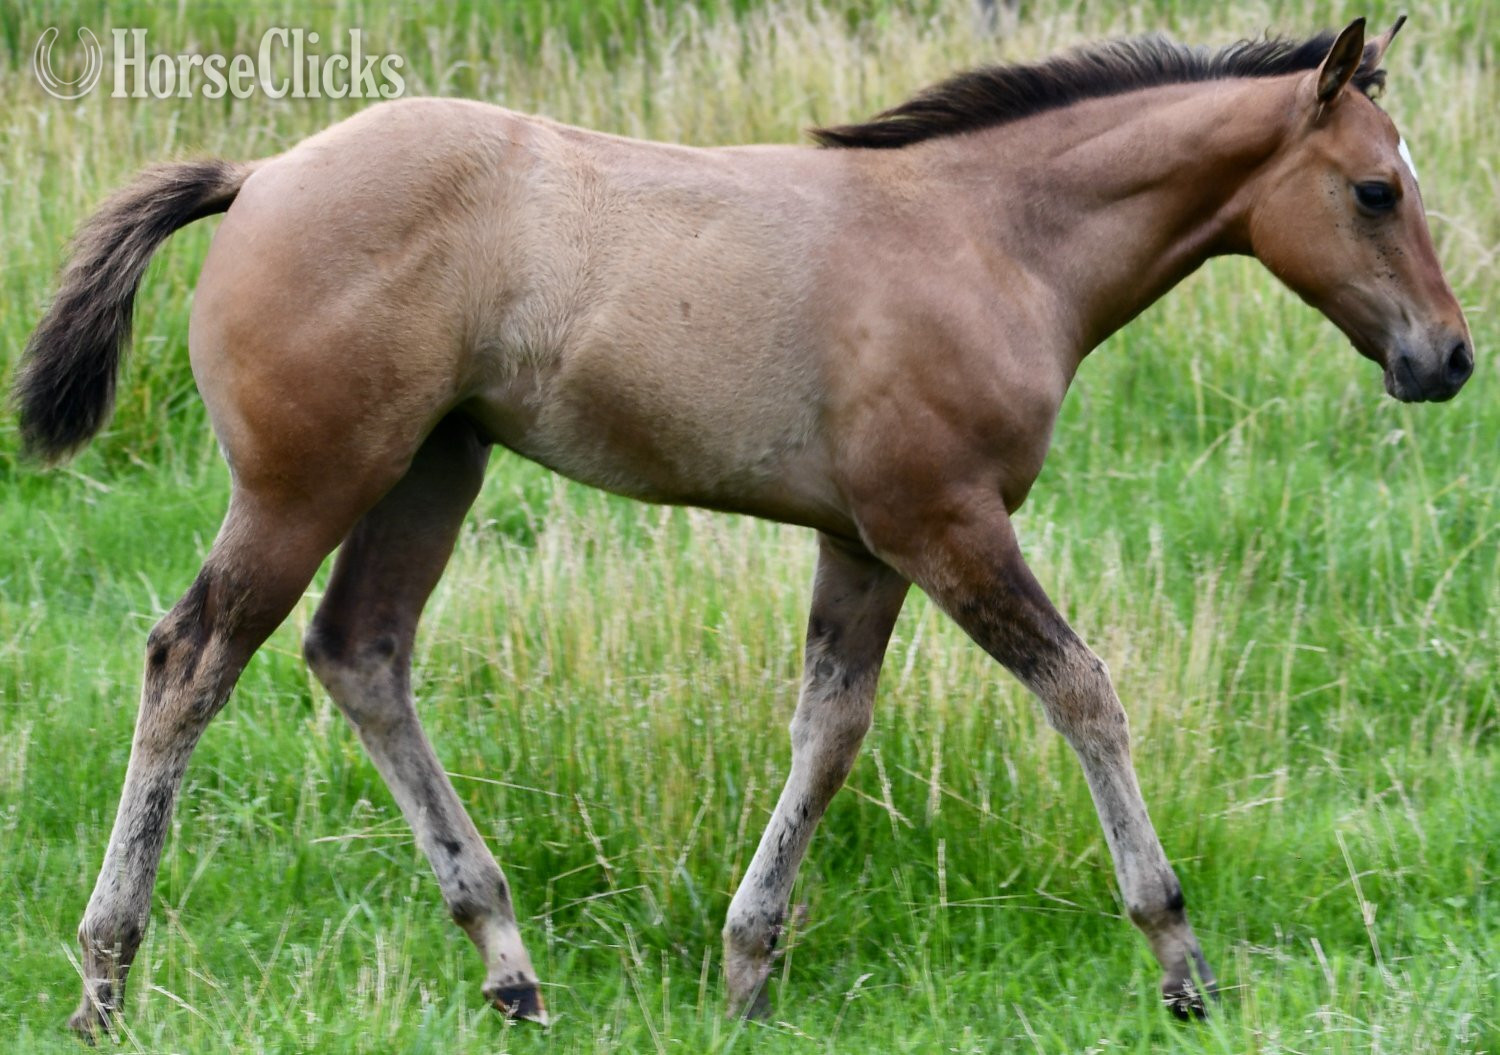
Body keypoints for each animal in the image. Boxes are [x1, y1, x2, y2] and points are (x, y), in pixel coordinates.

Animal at [13, 15, 1471, 1036]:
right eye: (1375, 191)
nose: (1448, 360)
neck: (990, 237)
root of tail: (260, 174)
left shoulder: (866, 542)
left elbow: (830, 726)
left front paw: (749, 967)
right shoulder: (947, 522)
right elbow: (1083, 689)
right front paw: (1178, 957)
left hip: (434, 464)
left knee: (361, 651)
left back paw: (508, 961)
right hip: (306, 484)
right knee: (190, 658)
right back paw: (105, 974)